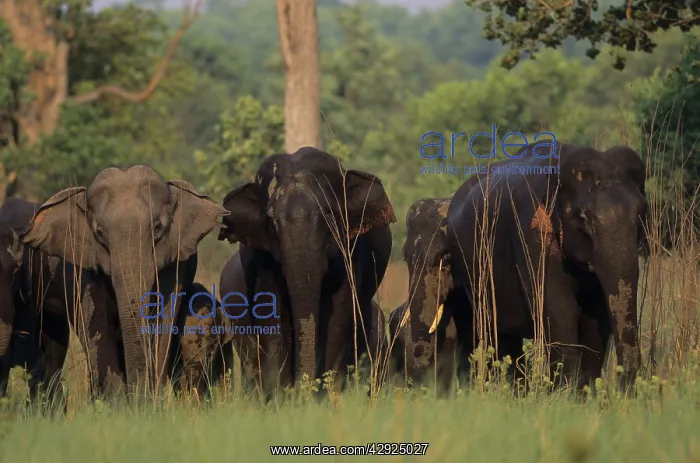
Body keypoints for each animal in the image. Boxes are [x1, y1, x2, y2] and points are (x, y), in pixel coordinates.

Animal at [19, 165, 229, 398]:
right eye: (100, 234)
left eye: (158, 228)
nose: (140, 397)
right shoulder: (81, 267)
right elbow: (97, 323)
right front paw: (118, 403)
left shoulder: (176, 265)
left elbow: (163, 321)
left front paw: (150, 399)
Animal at [218, 147, 396, 396]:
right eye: (271, 221)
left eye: (330, 214)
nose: (302, 392)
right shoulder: (260, 259)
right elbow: (271, 314)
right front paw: (282, 397)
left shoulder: (350, 253)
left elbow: (339, 313)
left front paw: (323, 395)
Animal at [447, 143, 647, 390]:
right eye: (583, 218)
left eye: (642, 213)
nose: (622, 386)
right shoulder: (532, 235)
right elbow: (559, 309)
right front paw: (565, 393)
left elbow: (597, 315)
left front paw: (584, 393)